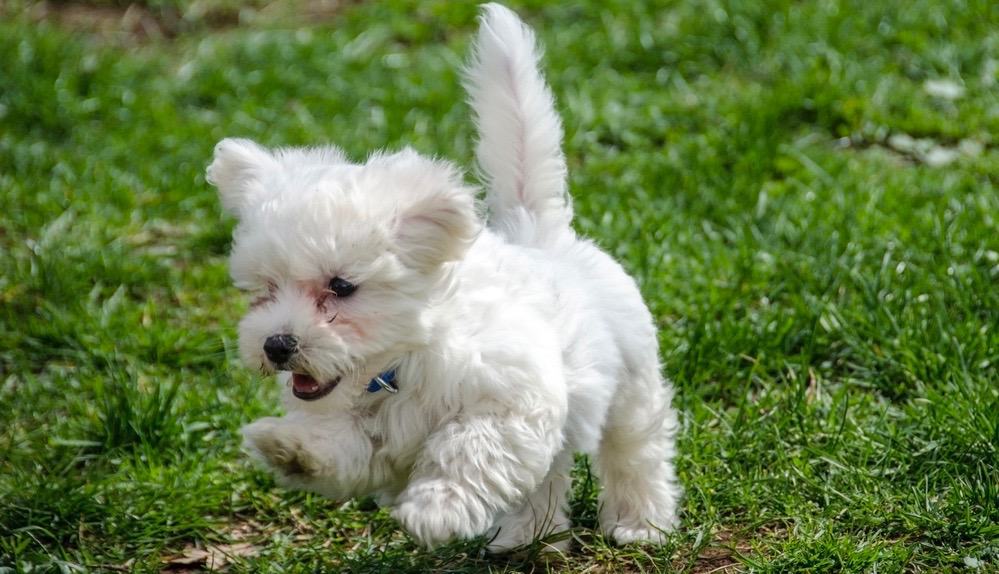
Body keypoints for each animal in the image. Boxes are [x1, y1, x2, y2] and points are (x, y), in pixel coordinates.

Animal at [208, 3, 684, 552]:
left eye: (341, 287)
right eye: (265, 289)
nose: (277, 345)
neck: (397, 367)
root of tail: (542, 234)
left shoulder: (507, 401)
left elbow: (467, 450)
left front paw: (434, 512)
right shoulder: (368, 439)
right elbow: (342, 452)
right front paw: (286, 445)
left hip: (632, 384)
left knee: (636, 448)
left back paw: (639, 522)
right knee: (546, 476)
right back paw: (527, 535)